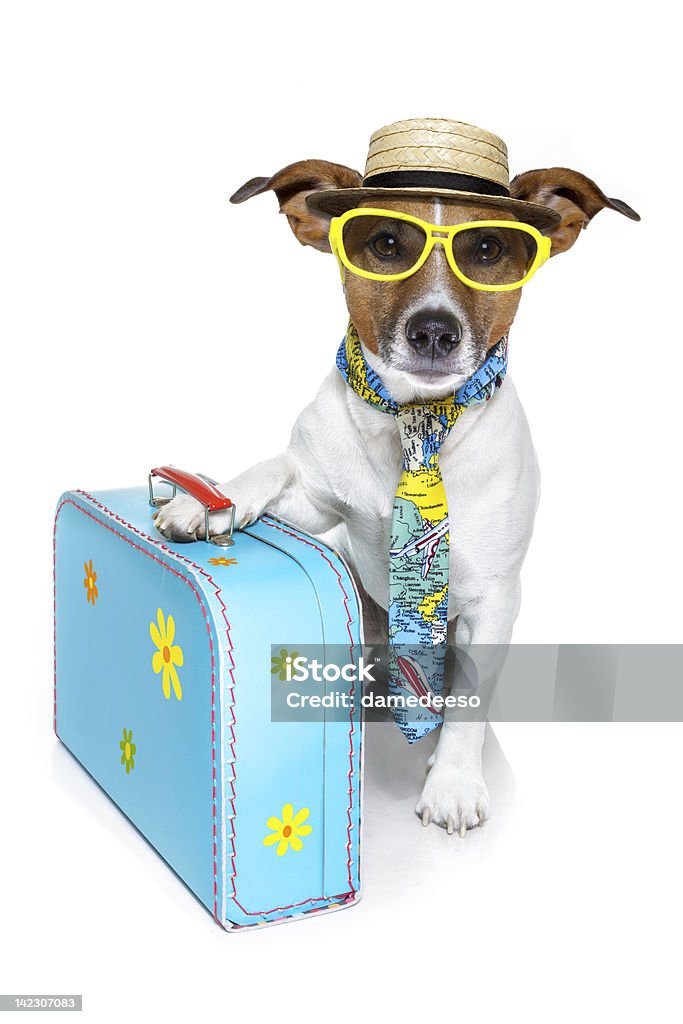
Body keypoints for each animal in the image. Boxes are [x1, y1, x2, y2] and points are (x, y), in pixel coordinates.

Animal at [152, 121, 638, 839]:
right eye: (383, 244)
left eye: (488, 248)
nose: (434, 331)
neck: (416, 425)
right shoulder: (317, 503)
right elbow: (275, 466)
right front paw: (207, 500)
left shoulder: (493, 602)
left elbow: (468, 705)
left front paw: (454, 784)